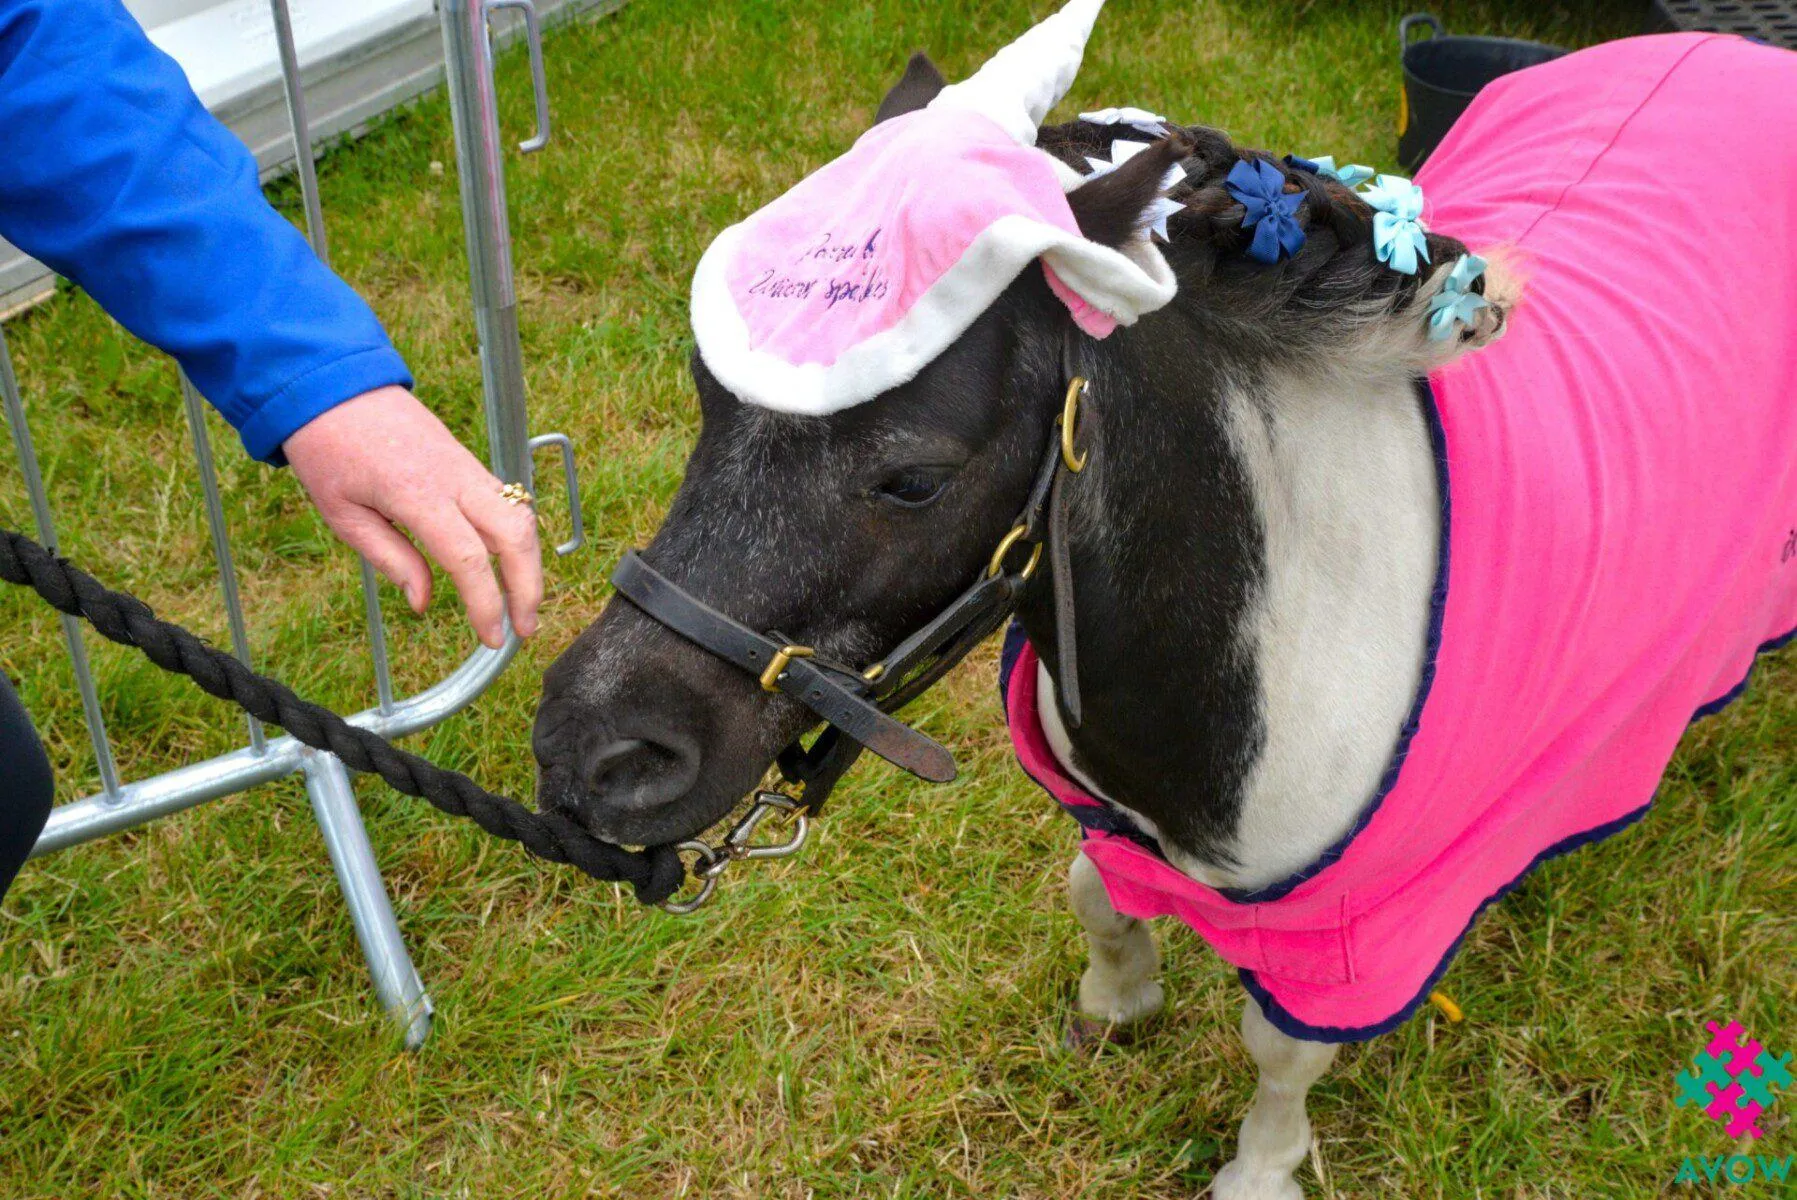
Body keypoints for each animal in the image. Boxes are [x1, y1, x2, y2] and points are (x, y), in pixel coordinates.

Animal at [531, 3, 1797, 1195]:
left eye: (913, 477)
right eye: (706, 393)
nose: (593, 753)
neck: (1291, 625)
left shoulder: (1348, 940)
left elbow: (1280, 1053)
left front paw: (1260, 1168)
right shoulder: (1117, 824)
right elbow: (1097, 896)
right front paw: (1114, 1007)